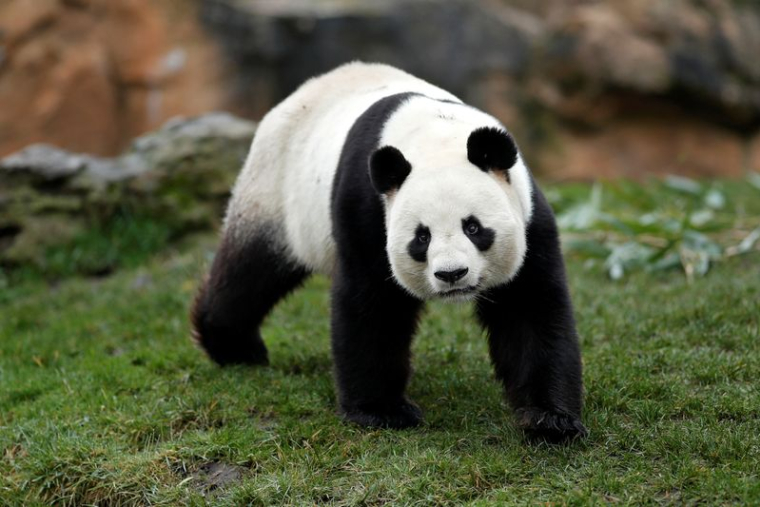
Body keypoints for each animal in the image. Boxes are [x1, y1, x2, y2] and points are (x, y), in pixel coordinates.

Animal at [191, 62, 587, 441]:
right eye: (421, 237)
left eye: (473, 228)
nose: (452, 274)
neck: (437, 140)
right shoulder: (367, 208)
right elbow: (371, 304)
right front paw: (382, 412)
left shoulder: (528, 215)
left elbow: (530, 309)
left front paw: (549, 420)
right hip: (276, 192)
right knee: (250, 272)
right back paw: (234, 347)